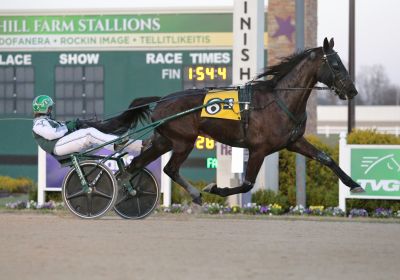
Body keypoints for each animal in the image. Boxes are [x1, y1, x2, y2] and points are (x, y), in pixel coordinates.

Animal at [105, 37, 362, 205]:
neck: (280, 99)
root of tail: (161, 100)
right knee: (169, 168)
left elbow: (326, 158)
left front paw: (354, 184)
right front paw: (214, 188)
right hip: (183, 141)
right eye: (336, 64)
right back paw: (192, 194)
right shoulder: (259, 149)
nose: (352, 90)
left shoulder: (293, 142)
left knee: (137, 164)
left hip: (164, 140)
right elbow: (247, 183)